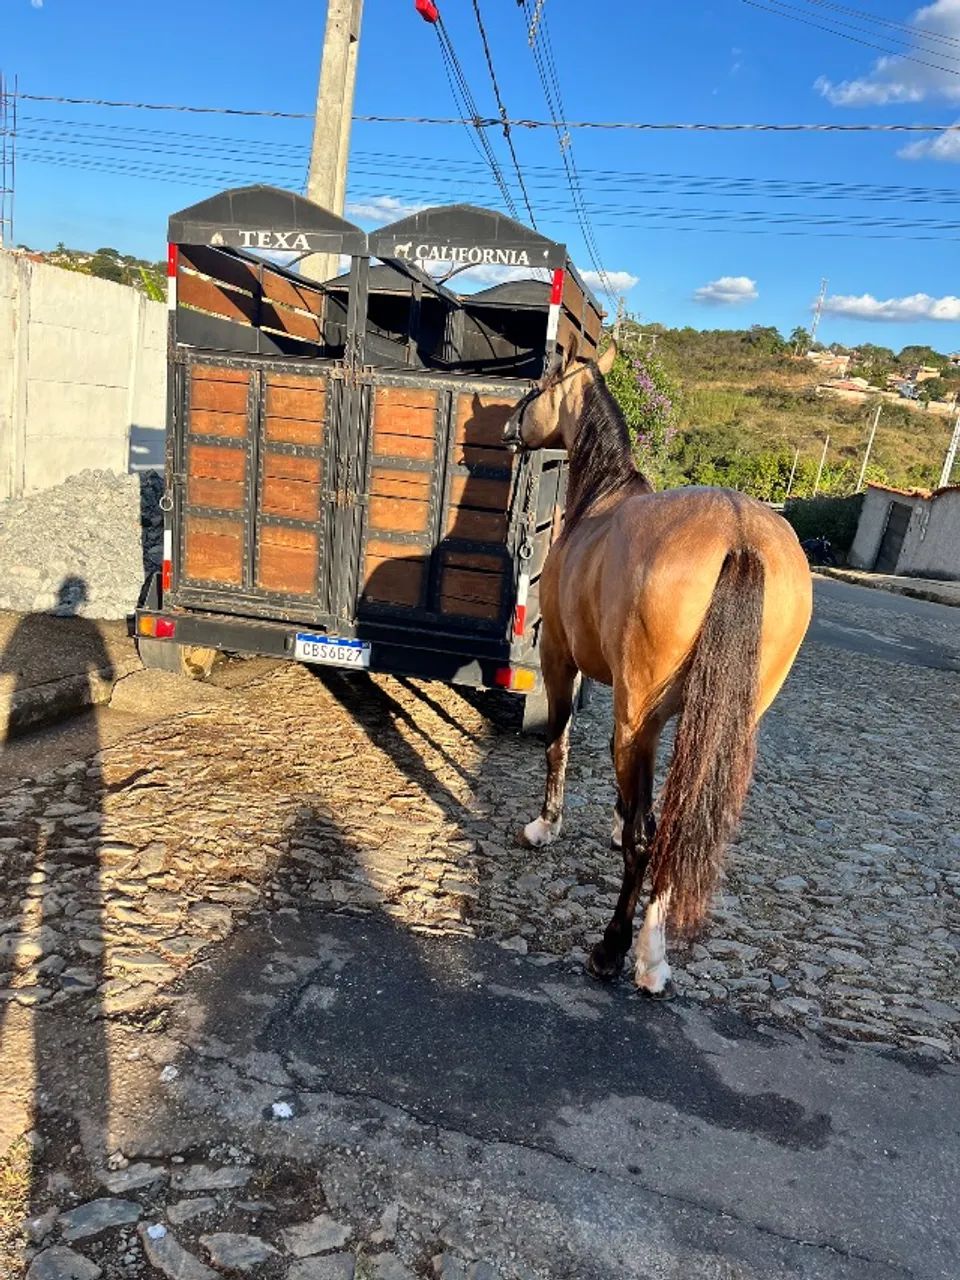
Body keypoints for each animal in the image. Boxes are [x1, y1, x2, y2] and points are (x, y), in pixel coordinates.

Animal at [503, 338, 812, 996]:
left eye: (540, 384)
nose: (509, 426)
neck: (604, 496)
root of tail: (740, 533)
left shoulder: (560, 661)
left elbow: (558, 745)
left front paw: (546, 826)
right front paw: (615, 818)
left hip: (632, 715)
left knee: (649, 841)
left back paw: (616, 950)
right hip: (716, 726)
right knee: (674, 826)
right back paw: (654, 954)